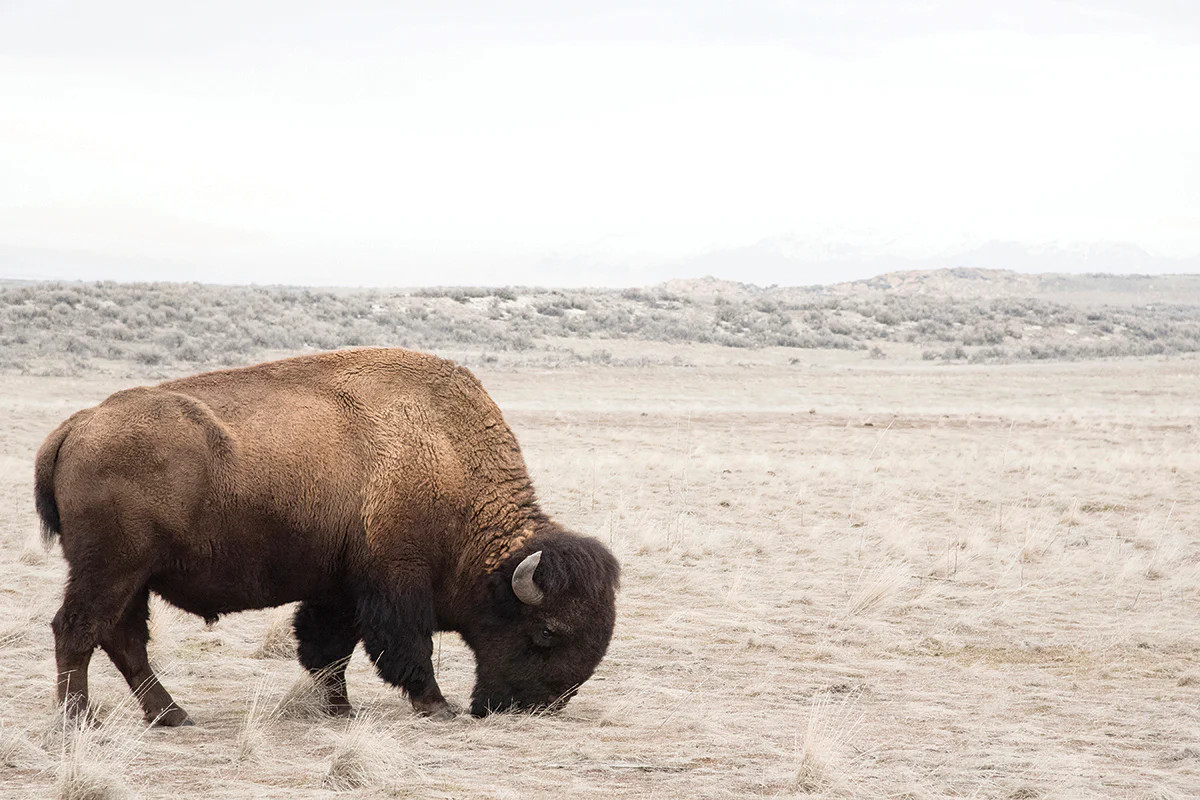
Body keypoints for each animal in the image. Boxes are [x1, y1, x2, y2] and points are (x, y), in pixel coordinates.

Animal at [34, 348, 619, 724]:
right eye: (547, 632)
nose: (533, 708)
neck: (448, 457)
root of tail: (76, 426)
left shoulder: (336, 589)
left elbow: (327, 649)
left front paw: (340, 709)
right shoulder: (396, 584)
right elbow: (405, 647)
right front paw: (436, 705)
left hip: (132, 578)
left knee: (122, 639)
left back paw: (172, 715)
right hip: (111, 570)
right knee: (77, 630)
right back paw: (81, 720)